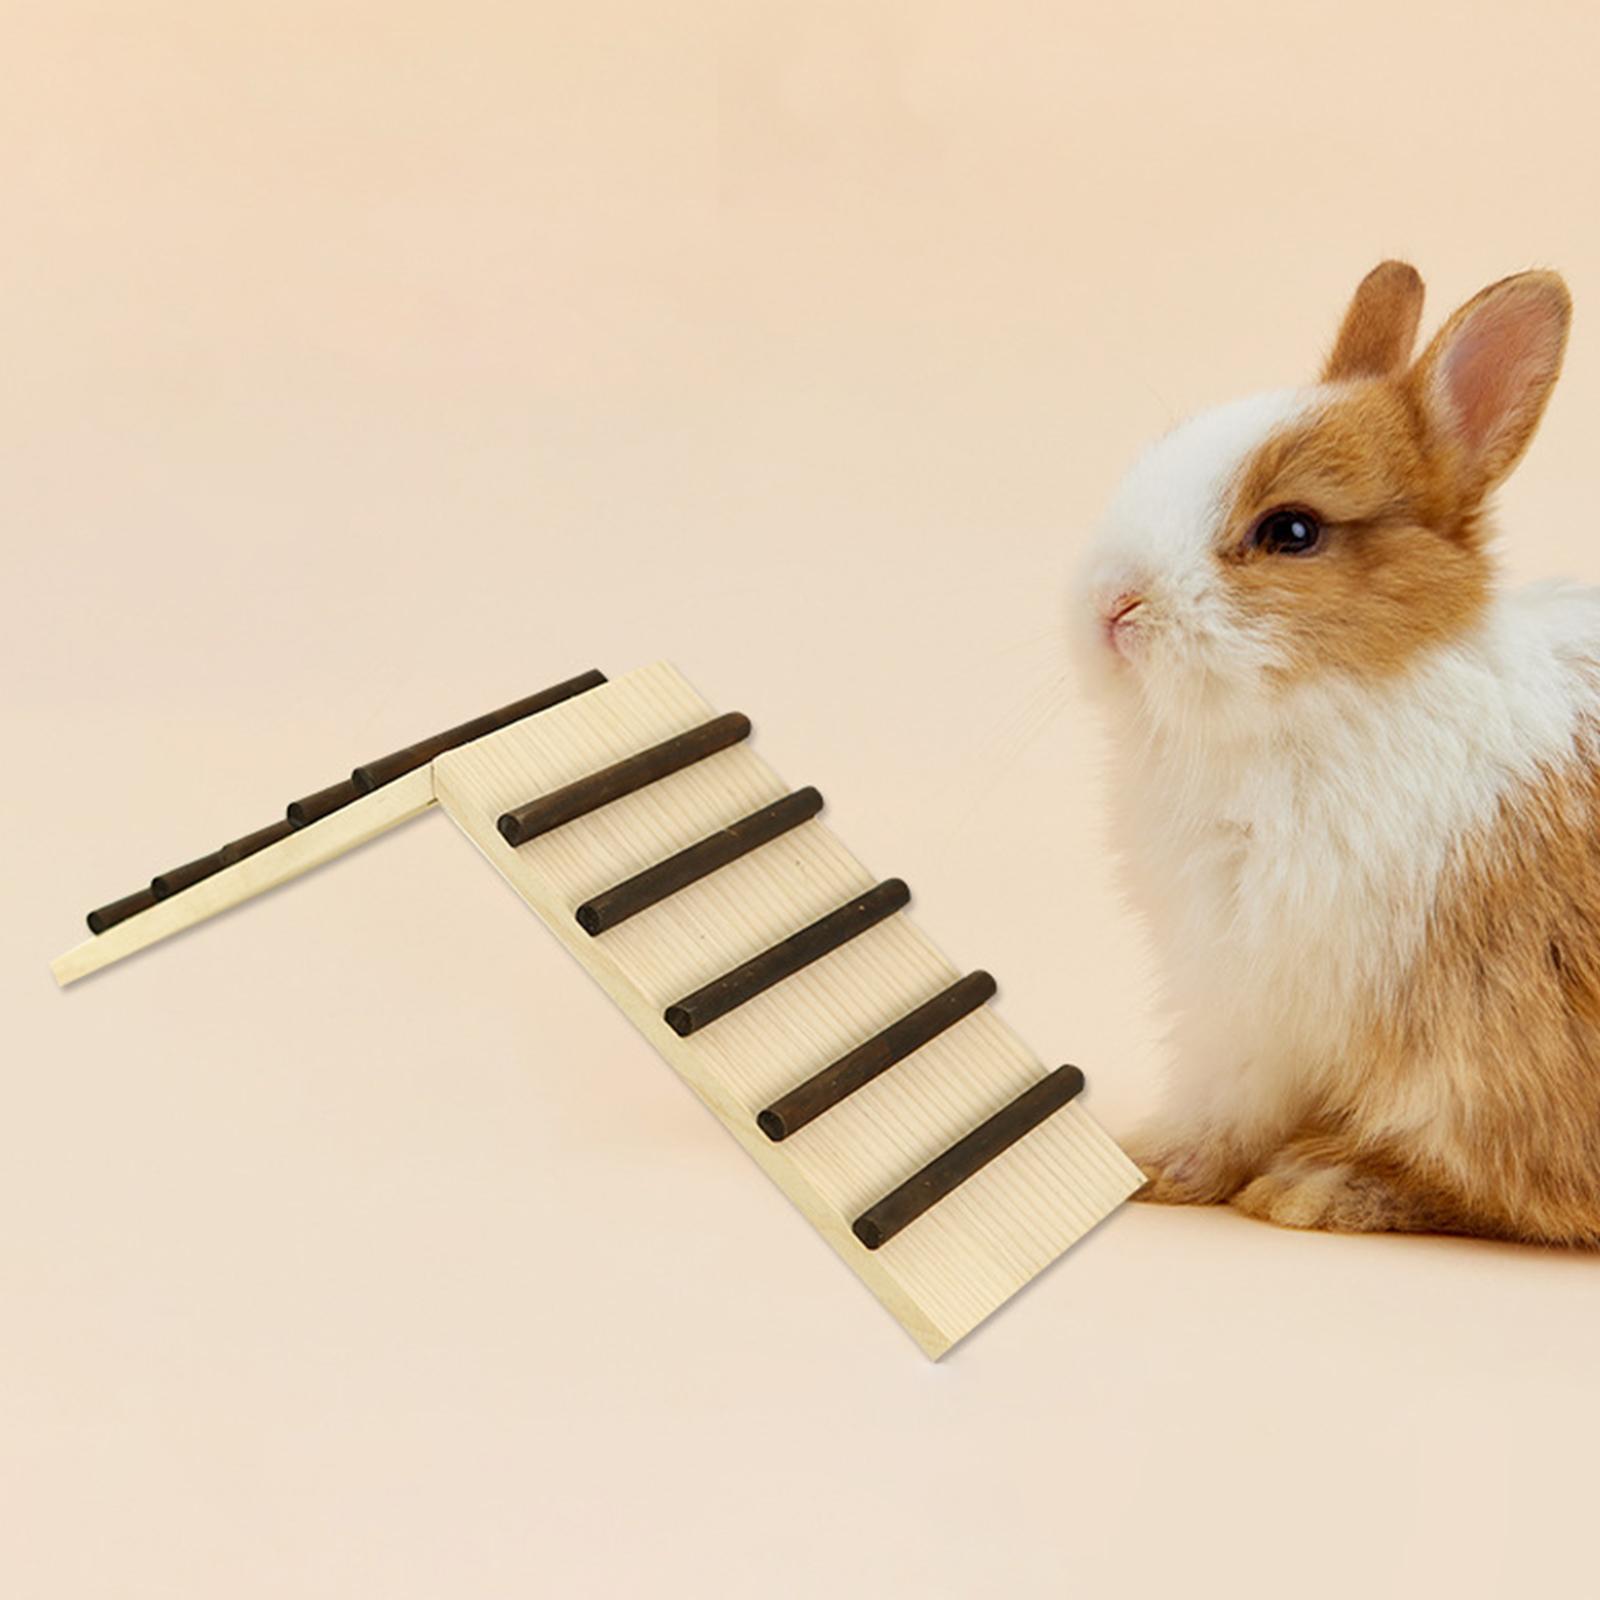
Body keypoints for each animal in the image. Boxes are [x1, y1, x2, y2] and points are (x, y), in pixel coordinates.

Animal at [1074, 261, 1600, 1243]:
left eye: (1292, 531)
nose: (1111, 603)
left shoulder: (1466, 1031)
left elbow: (1492, 1163)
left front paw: (1313, 1184)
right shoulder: (1241, 1000)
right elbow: (1229, 1104)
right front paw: (1155, 1165)